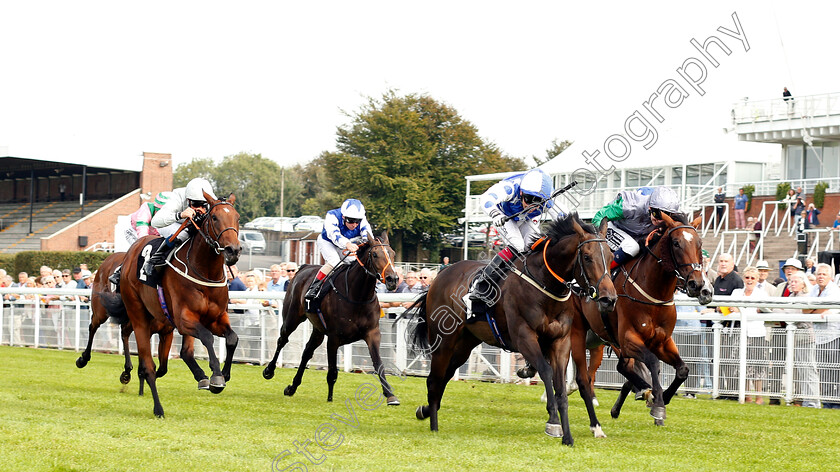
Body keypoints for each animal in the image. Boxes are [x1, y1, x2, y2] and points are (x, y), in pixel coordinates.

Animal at [101, 192, 243, 416]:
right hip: (138, 314)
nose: (233, 250)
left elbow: (232, 338)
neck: (205, 271)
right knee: (146, 362)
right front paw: (216, 376)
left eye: (237, 218)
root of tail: (130, 253)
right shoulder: (184, 319)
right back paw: (157, 407)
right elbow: (207, 337)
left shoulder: (216, 317)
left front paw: (224, 374)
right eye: (214, 218)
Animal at [266, 231, 404, 406]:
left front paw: (390, 395)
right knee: (282, 339)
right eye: (374, 254)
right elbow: (332, 370)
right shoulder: (334, 337)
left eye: (392, 253)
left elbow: (379, 363)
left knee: (307, 351)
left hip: (318, 329)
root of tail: (303, 268)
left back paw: (292, 387)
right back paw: (269, 370)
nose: (393, 279)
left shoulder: (372, 333)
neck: (357, 296)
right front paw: (330, 398)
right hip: (292, 318)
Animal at [406, 214, 616, 446]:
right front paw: (553, 422)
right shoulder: (524, 337)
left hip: (465, 345)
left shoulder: (561, 341)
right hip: (443, 341)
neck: (544, 283)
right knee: (434, 379)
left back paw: (426, 411)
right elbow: (545, 371)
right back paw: (433, 424)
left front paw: (568, 437)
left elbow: (560, 387)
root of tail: (440, 276)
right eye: (587, 257)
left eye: (610, 255)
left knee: (445, 375)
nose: (609, 298)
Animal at [572, 212, 708, 426]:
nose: (698, 284)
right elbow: (652, 362)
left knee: (622, 366)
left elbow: (683, 369)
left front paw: (661, 397)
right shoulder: (629, 338)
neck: (652, 292)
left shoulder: (662, 341)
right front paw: (658, 403)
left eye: (699, 243)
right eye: (676, 243)